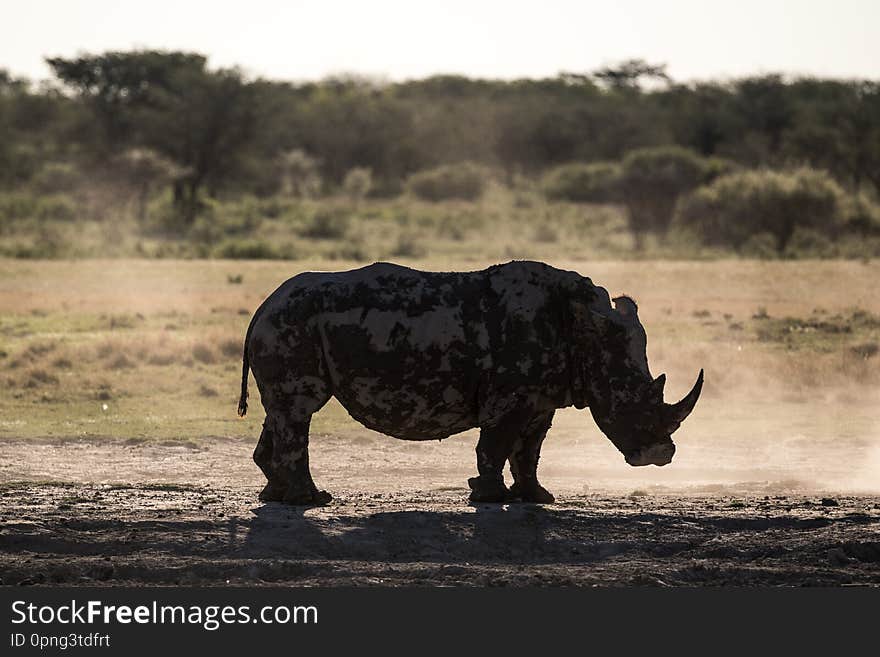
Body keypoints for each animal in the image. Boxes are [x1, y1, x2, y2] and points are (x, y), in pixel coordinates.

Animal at [237, 258, 704, 504]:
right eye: (628, 399)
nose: (661, 455)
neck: (582, 329)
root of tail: (262, 305)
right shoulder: (511, 397)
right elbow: (496, 444)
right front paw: (489, 497)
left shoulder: (541, 398)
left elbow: (529, 450)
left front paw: (539, 498)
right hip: (291, 323)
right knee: (300, 410)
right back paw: (312, 500)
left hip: (289, 323)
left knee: (283, 412)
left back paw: (275, 496)